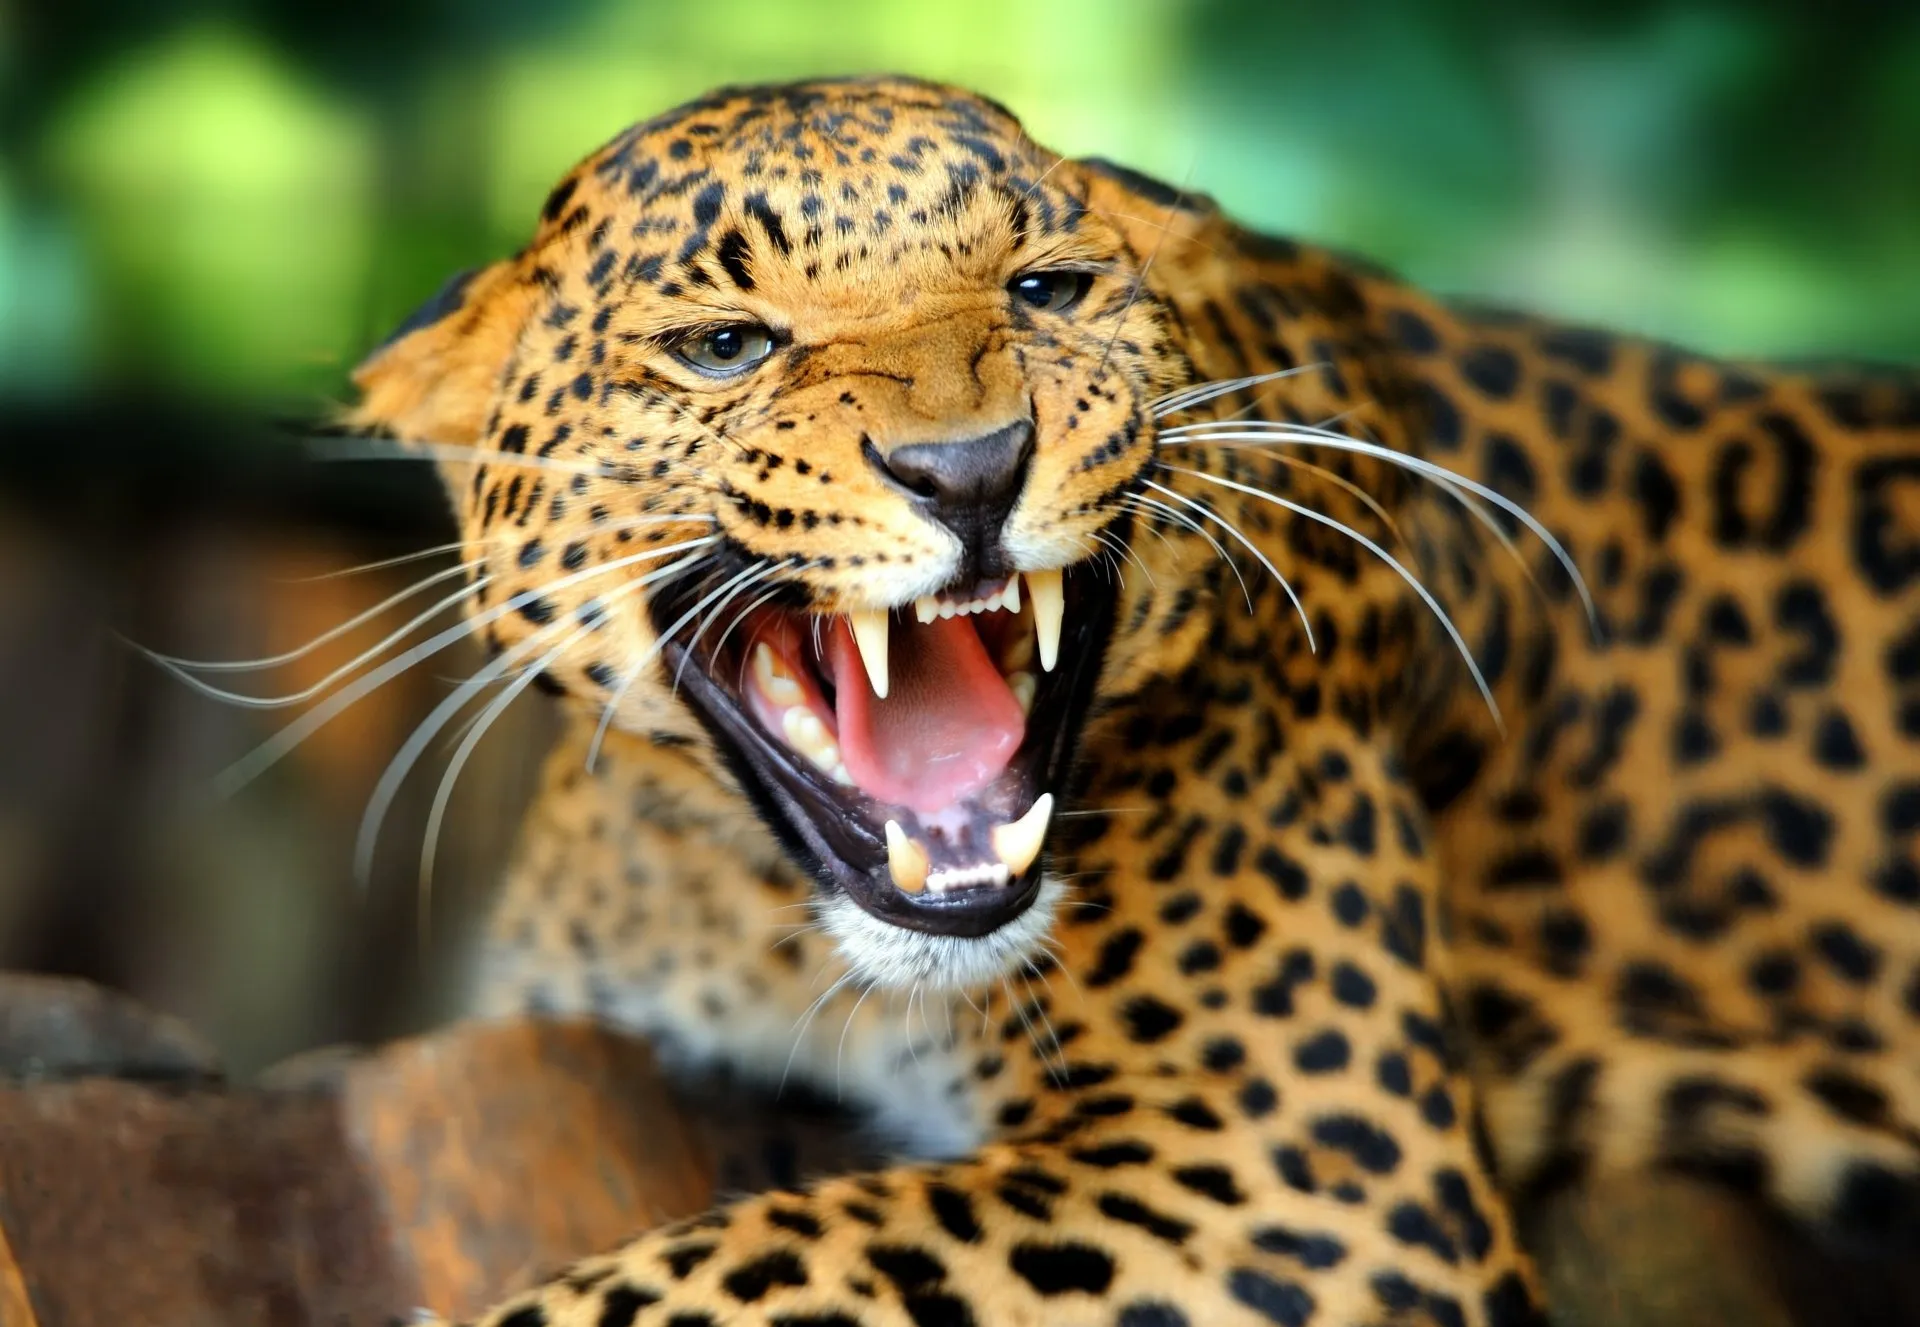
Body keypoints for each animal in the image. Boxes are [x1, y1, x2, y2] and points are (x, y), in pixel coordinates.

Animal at [341, 76, 1920, 1326]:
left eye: (1047, 290)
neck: (758, 915)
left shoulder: (1300, 1166)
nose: (970, 467)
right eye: (727, 344)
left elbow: (757, 1256)